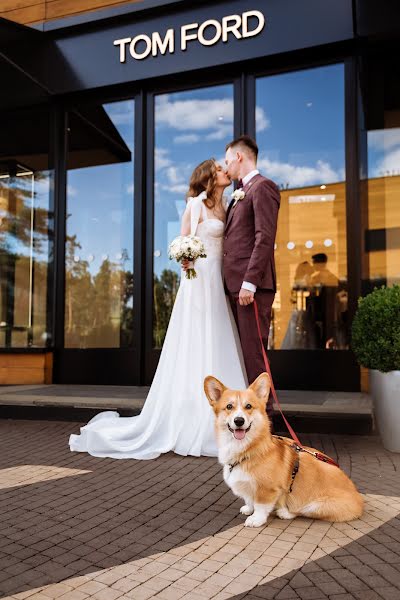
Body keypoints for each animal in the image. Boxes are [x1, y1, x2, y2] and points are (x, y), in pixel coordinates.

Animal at [205, 372, 364, 528]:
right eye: (229, 406)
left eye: (248, 406)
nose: (239, 421)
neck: (248, 448)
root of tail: (360, 500)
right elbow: (249, 499)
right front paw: (248, 508)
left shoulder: (267, 489)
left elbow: (261, 505)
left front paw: (256, 519)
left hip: (316, 505)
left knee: (300, 510)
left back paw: (284, 512)